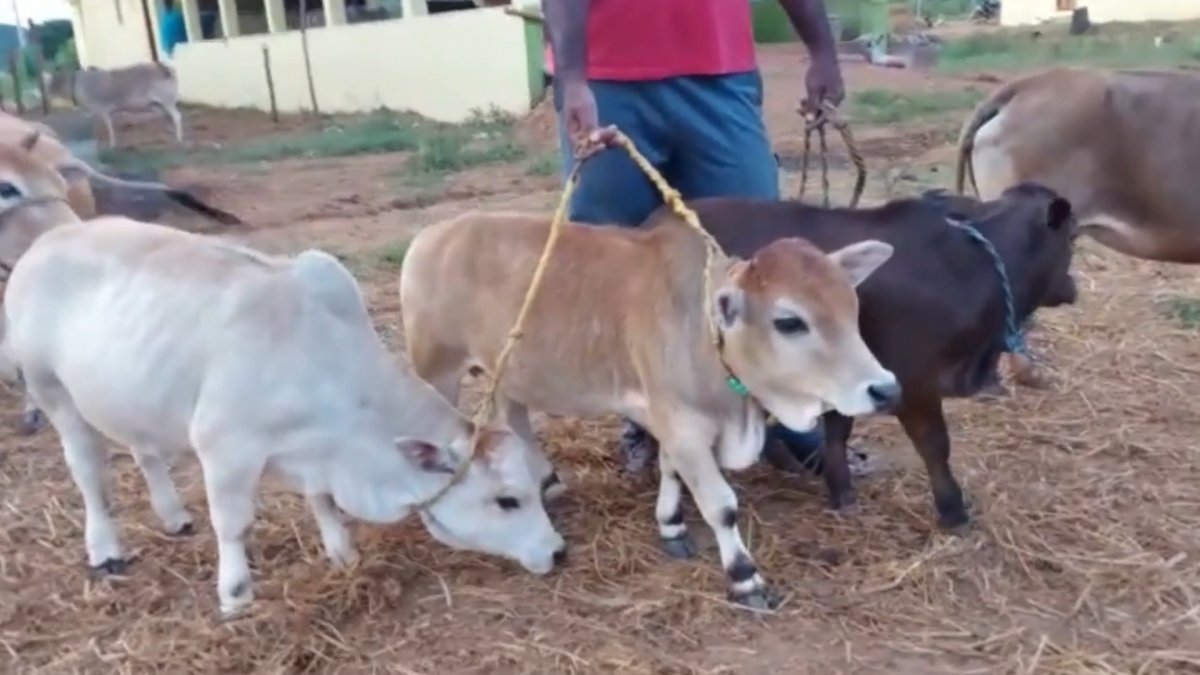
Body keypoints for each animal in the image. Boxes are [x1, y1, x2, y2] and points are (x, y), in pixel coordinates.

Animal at [2, 214, 564, 614]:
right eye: (507, 500)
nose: (558, 551)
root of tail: (48, 241)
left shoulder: (317, 455)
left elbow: (321, 500)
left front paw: (342, 553)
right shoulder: (225, 449)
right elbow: (233, 524)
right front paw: (235, 593)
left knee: (146, 452)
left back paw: (173, 515)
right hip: (54, 392)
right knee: (88, 472)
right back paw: (105, 547)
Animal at [400, 210, 902, 605]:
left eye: (851, 306)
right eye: (789, 321)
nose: (885, 389)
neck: (704, 333)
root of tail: (433, 234)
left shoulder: (666, 419)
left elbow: (670, 471)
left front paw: (671, 525)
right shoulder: (683, 425)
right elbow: (721, 504)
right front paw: (745, 578)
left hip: (510, 367)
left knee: (515, 414)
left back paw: (546, 480)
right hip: (437, 368)